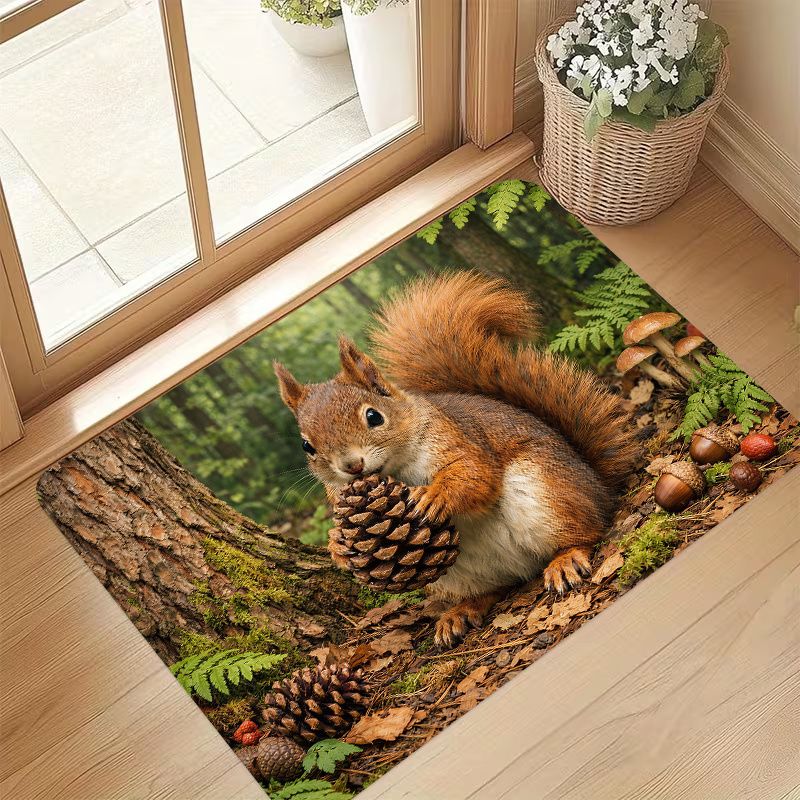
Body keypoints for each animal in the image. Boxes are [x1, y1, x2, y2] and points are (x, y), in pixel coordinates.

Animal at [273, 271, 638, 648]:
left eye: (374, 416)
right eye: (307, 446)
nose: (351, 466)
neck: (395, 473)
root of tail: (599, 488)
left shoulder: (458, 440)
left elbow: (474, 474)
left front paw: (434, 496)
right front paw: (337, 546)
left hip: (545, 491)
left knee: (587, 532)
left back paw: (566, 558)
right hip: (455, 574)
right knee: (498, 586)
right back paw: (460, 612)